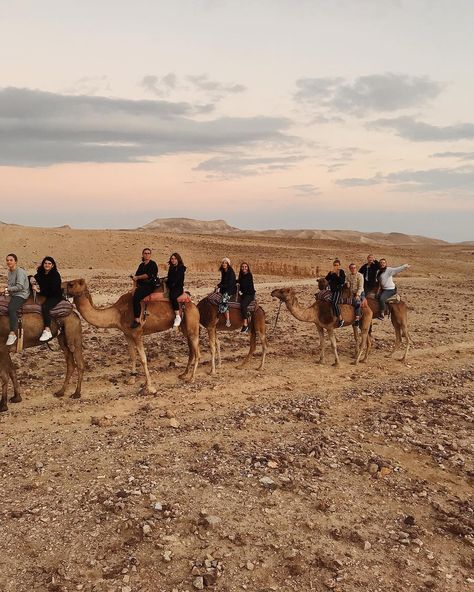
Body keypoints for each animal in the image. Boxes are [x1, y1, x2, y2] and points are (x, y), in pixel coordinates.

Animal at [64, 278, 200, 394]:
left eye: (71, 284)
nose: (61, 287)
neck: (117, 314)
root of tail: (193, 304)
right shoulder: (127, 334)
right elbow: (133, 356)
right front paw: (131, 380)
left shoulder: (137, 333)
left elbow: (143, 359)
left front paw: (149, 387)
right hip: (185, 328)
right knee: (191, 350)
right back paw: (183, 374)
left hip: (192, 324)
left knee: (197, 352)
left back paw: (192, 378)